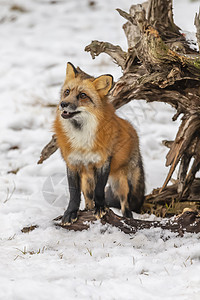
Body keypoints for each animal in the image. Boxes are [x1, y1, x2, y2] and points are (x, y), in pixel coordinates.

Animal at [53, 62, 145, 224]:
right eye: (67, 92)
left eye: (82, 95)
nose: (63, 104)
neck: (82, 138)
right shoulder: (72, 164)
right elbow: (74, 194)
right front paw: (71, 212)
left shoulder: (103, 162)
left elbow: (100, 191)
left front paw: (101, 208)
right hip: (87, 181)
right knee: (89, 199)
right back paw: (87, 209)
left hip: (120, 182)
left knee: (125, 203)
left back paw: (127, 218)